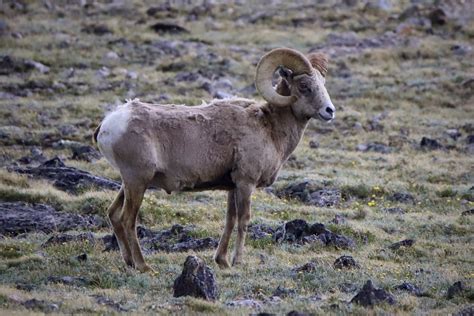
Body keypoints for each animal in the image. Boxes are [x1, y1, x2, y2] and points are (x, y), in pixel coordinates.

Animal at [94, 47, 336, 272]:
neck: (270, 128)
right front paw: (238, 262)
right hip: (137, 181)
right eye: (304, 86)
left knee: (114, 215)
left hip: (130, 183)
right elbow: (243, 220)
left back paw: (129, 263)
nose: (329, 111)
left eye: (323, 83)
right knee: (128, 220)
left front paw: (223, 262)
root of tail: (108, 125)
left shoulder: (232, 186)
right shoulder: (246, 183)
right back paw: (144, 266)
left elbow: (230, 220)